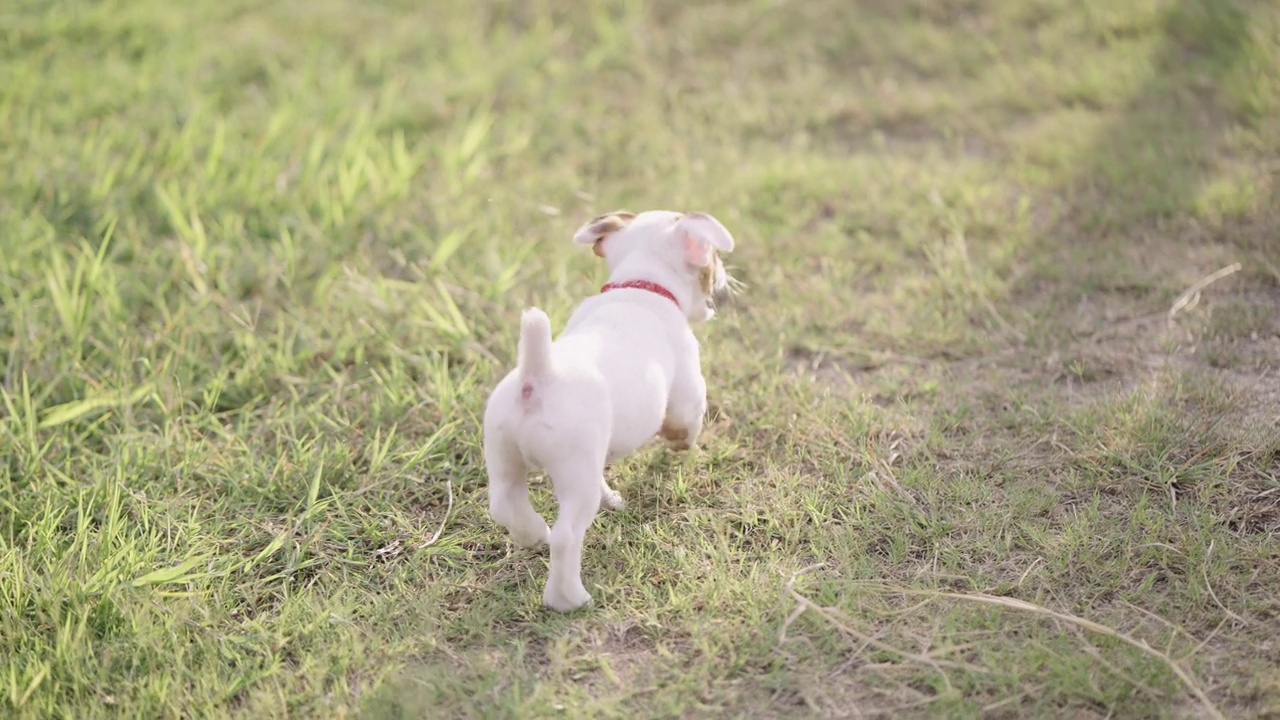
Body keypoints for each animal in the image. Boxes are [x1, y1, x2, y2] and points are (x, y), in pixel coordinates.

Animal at [481, 208, 742, 609]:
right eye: (712, 258)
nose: (725, 276)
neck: (639, 285)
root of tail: (536, 376)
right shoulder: (687, 389)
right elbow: (686, 422)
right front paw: (680, 444)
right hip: (574, 477)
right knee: (566, 536)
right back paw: (569, 598)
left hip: (505, 457)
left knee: (505, 504)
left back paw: (533, 534)